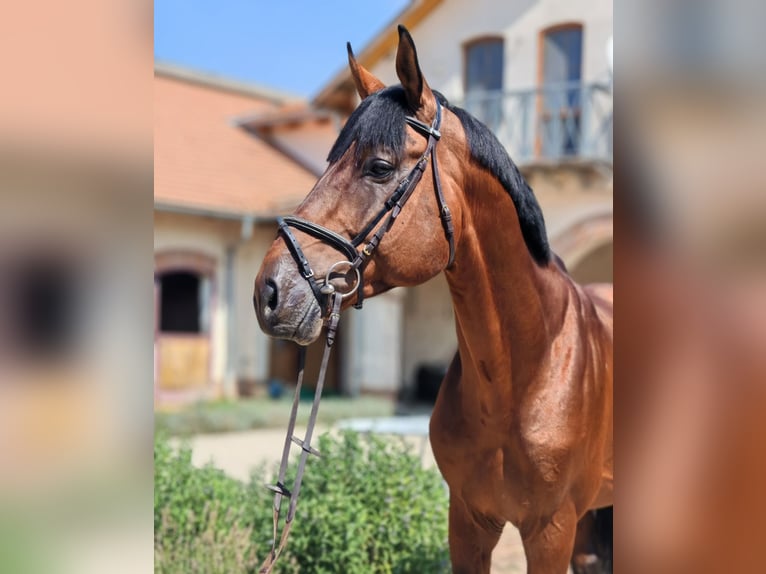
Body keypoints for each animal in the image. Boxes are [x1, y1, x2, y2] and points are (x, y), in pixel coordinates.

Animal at [254, 26, 613, 574]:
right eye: (329, 160)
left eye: (379, 166)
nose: (270, 291)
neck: (524, 374)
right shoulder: (467, 521)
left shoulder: (551, 531)